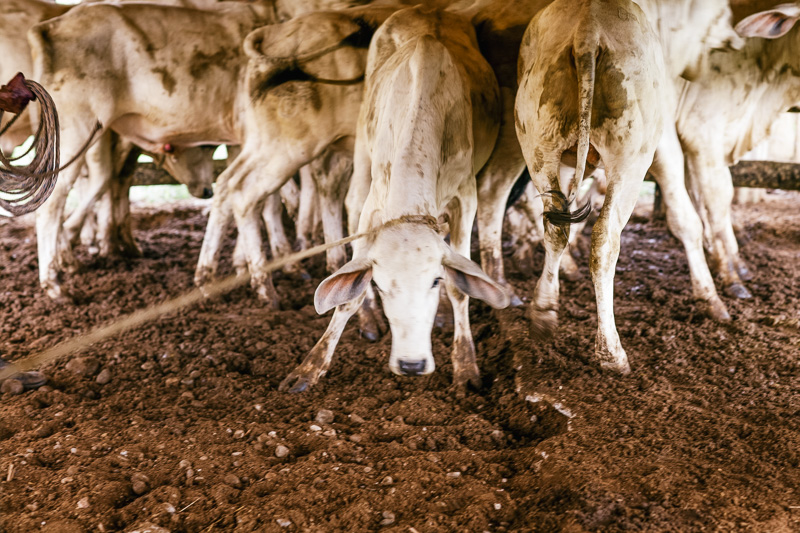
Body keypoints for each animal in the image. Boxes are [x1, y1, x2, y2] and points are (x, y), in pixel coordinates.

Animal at [278, 6, 509, 394]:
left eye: (434, 281)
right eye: (379, 284)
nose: (411, 365)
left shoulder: (466, 198)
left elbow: (460, 285)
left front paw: (466, 366)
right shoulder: (375, 205)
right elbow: (350, 295)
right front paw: (310, 367)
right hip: (361, 151)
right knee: (349, 200)